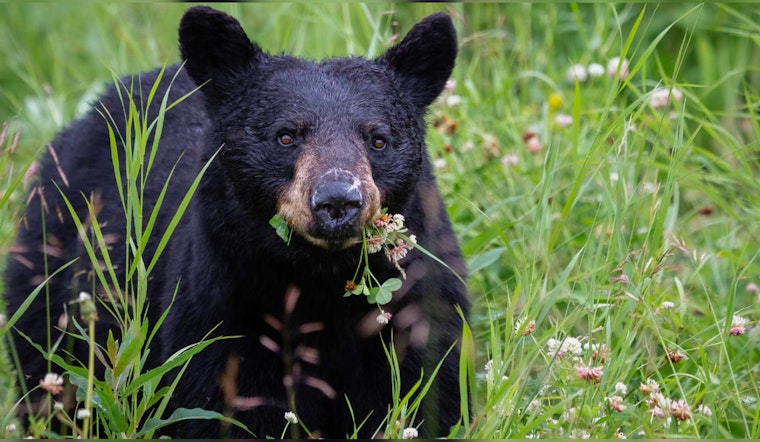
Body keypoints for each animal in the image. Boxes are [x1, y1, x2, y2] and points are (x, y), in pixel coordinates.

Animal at [4, 6, 469, 438]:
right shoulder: (222, 308)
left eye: (378, 139)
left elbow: (429, 395)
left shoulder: (418, 308)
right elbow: (226, 404)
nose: (338, 200)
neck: (321, 280)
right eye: (286, 136)